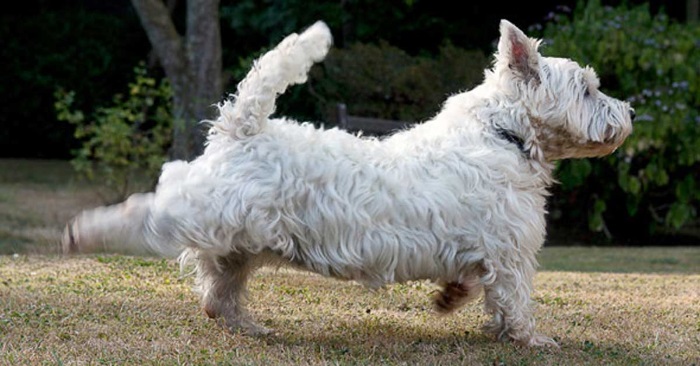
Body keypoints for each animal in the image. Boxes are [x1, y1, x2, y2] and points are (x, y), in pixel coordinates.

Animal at [64, 19, 636, 346]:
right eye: (588, 88)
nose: (628, 112)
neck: (505, 133)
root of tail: (241, 127)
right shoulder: (511, 250)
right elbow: (515, 299)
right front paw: (531, 340)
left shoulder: (481, 250)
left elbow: (475, 285)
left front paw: (451, 301)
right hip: (200, 211)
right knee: (142, 215)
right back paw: (79, 233)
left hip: (239, 243)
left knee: (217, 296)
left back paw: (252, 326)